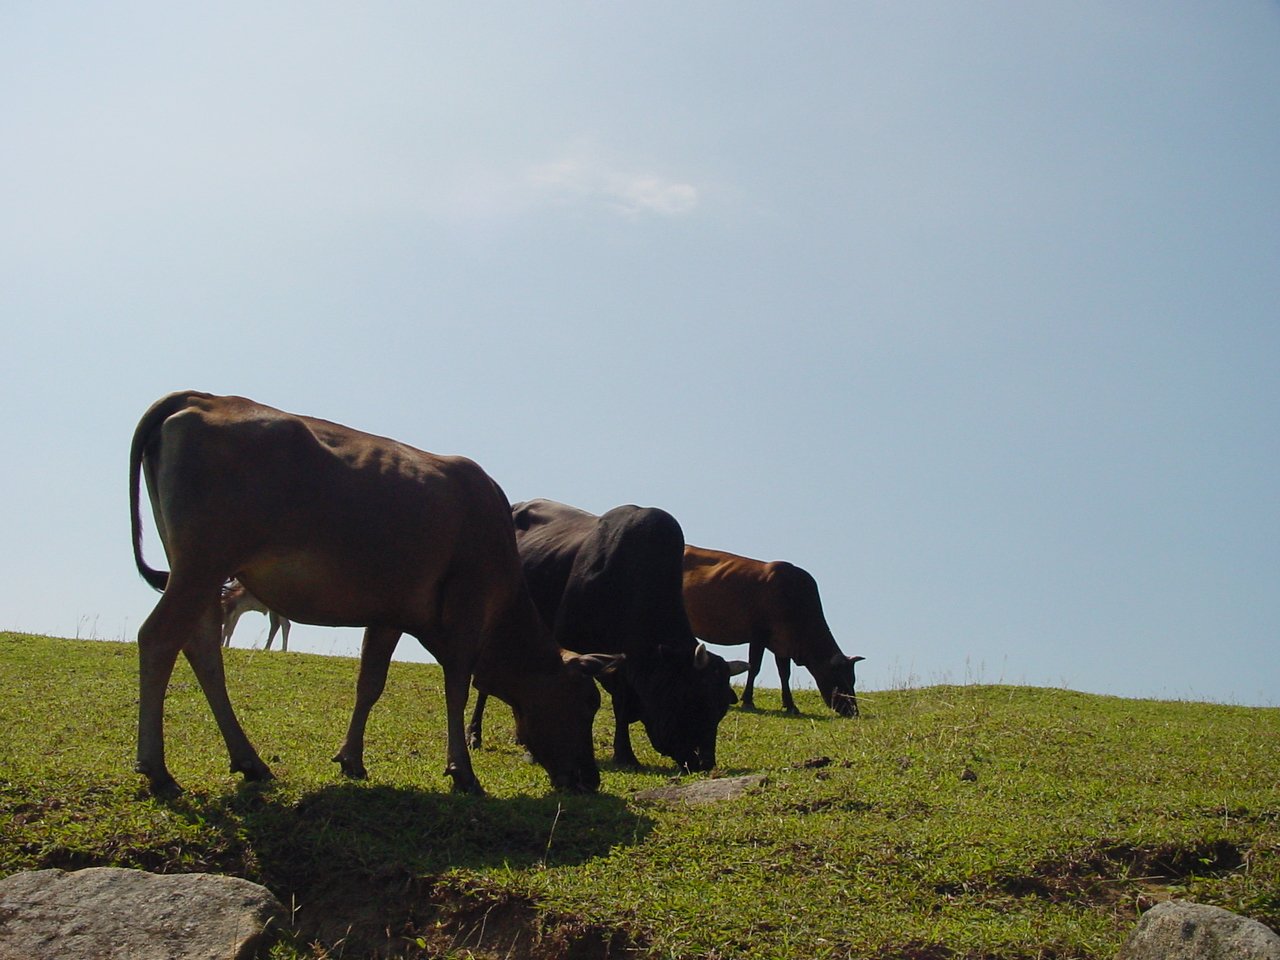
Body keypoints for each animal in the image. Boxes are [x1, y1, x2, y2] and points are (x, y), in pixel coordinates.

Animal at [128, 391, 619, 798]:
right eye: (587, 703)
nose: (591, 779)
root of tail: (204, 396)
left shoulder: (390, 613)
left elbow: (370, 683)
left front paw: (352, 760)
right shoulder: (467, 605)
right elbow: (456, 686)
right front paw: (462, 772)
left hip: (199, 573)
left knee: (203, 648)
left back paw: (250, 762)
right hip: (202, 563)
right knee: (159, 637)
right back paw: (158, 771)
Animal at [680, 545, 860, 716]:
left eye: (852, 680)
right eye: (839, 679)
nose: (853, 711)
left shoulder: (783, 643)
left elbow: (784, 673)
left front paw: (790, 705)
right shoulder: (758, 636)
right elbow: (754, 667)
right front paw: (748, 701)